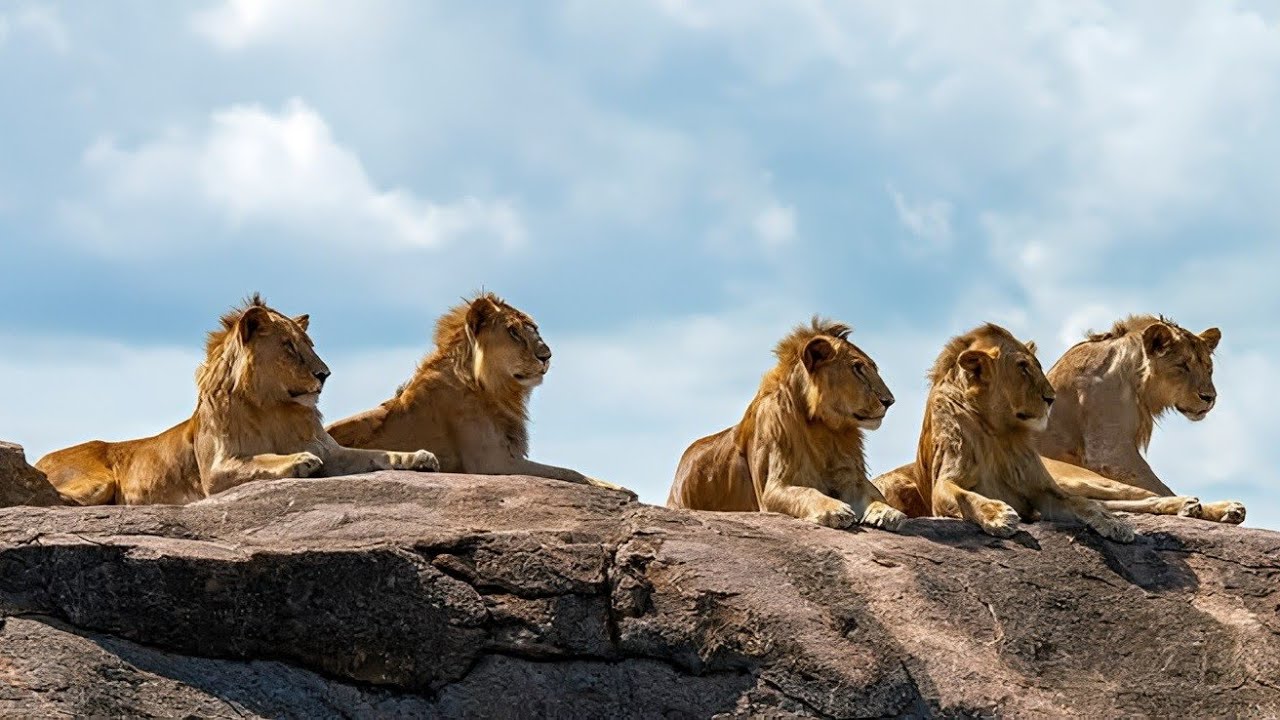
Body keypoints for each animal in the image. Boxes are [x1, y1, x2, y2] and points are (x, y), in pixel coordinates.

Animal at [36, 295, 439, 505]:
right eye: (288, 346)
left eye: (310, 344)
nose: (324, 374)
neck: (275, 407)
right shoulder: (216, 473)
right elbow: (260, 459)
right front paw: (298, 462)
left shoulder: (333, 450)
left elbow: (378, 454)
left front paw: (419, 457)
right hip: (96, 483)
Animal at [326, 293, 631, 496]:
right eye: (513, 333)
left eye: (534, 329)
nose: (547, 356)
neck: (496, 391)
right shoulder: (490, 461)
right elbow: (568, 473)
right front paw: (619, 488)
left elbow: (567, 472)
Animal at [666, 318, 906, 531]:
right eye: (857, 368)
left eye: (873, 368)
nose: (890, 401)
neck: (824, 428)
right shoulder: (770, 490)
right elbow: (806, 492)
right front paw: (834, 511)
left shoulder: (850, 476)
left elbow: (874, 496)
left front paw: (888, 512)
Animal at [871, 323, 1135, 542]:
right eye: (1023, 368)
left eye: (1037, 366)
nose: (1051, 398)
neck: (997, 430)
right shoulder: (943, 483)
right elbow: (964, 496)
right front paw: (998, 515)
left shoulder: (1041, 489)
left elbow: (1081, 503)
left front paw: (1114, 523)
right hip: (892, 484)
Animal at [1038, 315, 1244, 524]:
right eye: (1183, 365)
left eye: (1209, 369)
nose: (1210, 397)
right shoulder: (1110, 453)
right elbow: (1158, 486)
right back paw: (1206, 506)